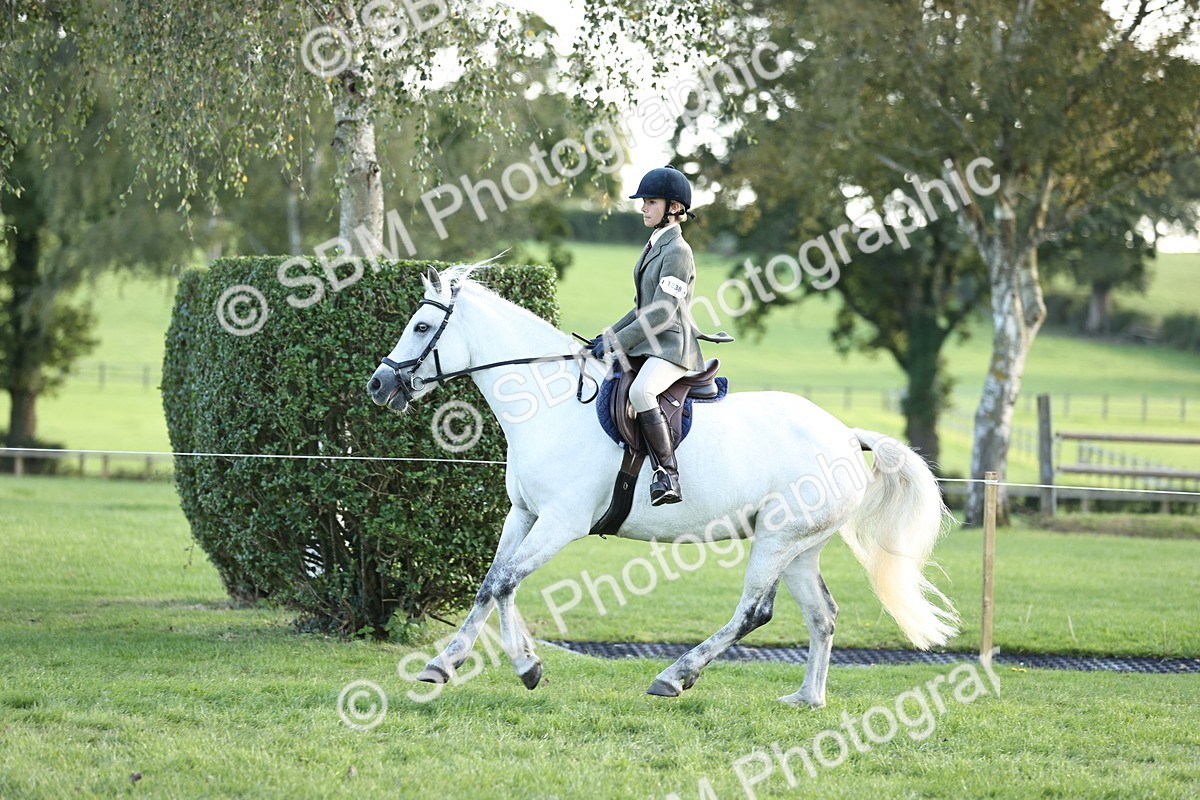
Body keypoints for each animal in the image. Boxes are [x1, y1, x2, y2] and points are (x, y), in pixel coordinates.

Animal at [366, 265, 958, 707]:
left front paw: (527, 666)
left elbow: (507, 583)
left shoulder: (560, 523)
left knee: (754, 611)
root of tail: (846, 435)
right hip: (801, 547)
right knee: (822, 615)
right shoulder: (525, 514)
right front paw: (442, 665)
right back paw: (806, 699)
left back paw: (675, 676)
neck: (549, 403)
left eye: (421, 327)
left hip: (777, 538)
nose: (379, 384)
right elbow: (489, 584)